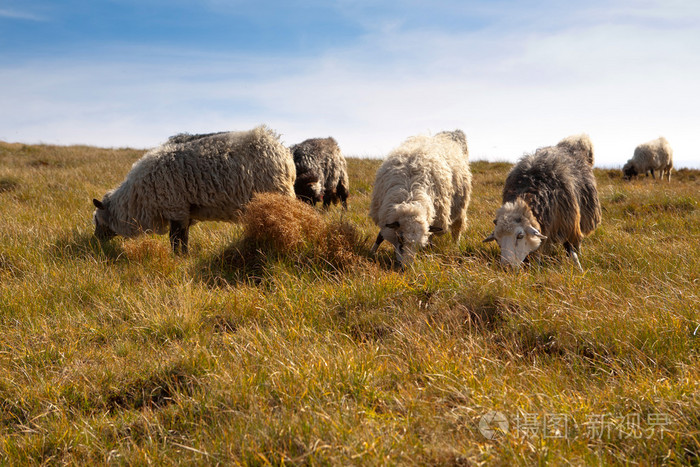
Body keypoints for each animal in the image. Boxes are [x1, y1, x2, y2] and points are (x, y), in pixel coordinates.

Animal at [91, 126, 296, 254]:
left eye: (97, 220)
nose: (95, 241)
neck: (137, 199)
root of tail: (282, 151)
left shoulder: (175, 207)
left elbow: (176, 239)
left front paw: (179, 258)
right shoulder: (185, 212)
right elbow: (184, 238)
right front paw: (185, 256)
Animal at [370, 130, 474, 268]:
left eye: (417, 245)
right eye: (400, 238)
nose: (405, 268)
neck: (410, 196)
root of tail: (451, 135)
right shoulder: (384, 215)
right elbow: (380, 236)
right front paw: (371, 252)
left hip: (460, 207)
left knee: (457, 229)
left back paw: (455, 246)